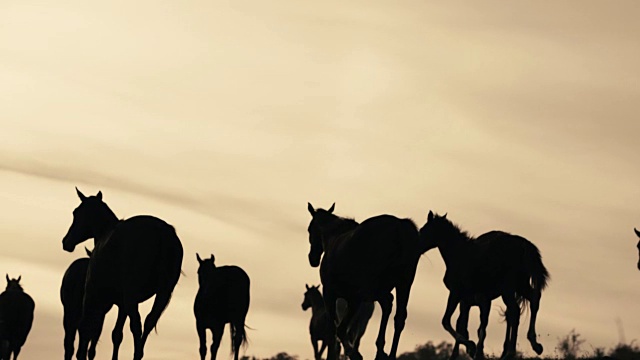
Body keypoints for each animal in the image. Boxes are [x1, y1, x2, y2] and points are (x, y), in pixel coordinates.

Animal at [61, 188, 182, 360]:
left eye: (76, 213)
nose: (66, 242)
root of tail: (162, 234)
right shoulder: (121, 304)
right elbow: (116, 334)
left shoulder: (93, 296)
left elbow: (87, 331)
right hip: (163, 293)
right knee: (148, 322)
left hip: (130, 295)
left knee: (136, 325)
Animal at [306, 202, 422, 360]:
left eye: (310, 229)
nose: (312, 258)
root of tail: (400, 226)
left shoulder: (331, 292)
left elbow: (334, 330)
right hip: (403, 283)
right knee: (398, 316)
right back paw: (387, 353)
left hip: (368, 289)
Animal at [420, 211, 552, 360]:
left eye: (423, 230)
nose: (416, 246)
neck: (461, 255)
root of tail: (523, 244)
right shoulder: (467, 300)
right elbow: (462, 325)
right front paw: (465, 351)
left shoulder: (460, 294)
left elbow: (448, 322)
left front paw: (474, 349)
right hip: (520, 285)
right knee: (534, 299)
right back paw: (534, 344)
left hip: (508, 289)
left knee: (515, 311)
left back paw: (510, 352)